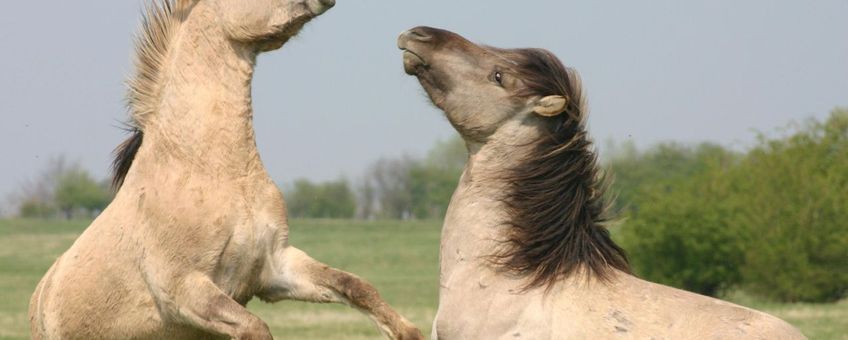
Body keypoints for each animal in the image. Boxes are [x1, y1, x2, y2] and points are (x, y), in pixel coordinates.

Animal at [27, 1, 424, 338]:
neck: (212, 170)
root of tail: (39, 298)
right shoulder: (186, 291)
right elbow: (256, 328)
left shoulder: (276, 268)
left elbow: (356, 286)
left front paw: (408, 331)